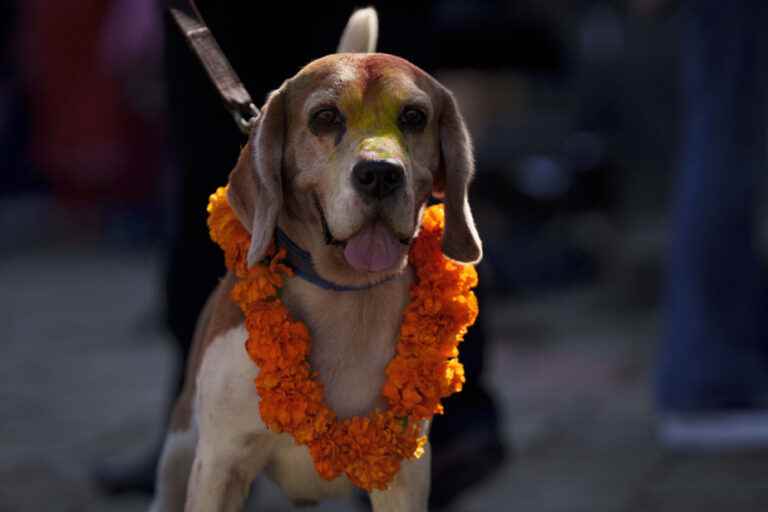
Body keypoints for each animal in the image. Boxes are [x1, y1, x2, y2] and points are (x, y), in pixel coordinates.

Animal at [152, 8, 480, 512]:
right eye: (325, 117)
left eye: (414, 116)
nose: (380, 174)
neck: (345, 298)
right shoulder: (221, 465)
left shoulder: (403, 478)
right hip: (178, 454)